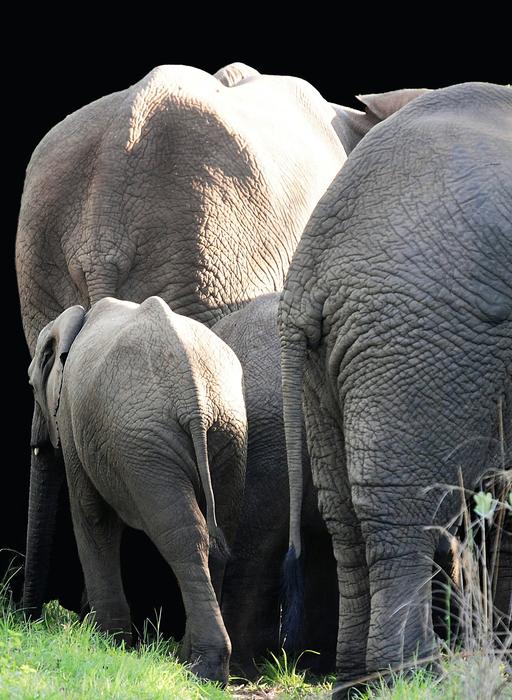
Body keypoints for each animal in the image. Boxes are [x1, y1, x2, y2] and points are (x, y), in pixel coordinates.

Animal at [24, 296, 247, 684]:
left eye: (33, 386)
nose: (28, 622)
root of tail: (195, 401)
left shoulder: (73, 418)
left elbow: (92, 515)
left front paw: (105, 643)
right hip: (227, 433)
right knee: (221, 537)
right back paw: (191, 662)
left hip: (144, 440)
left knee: (184, 536)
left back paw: (202, 669)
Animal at [278, 83, 511, 698]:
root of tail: (312, 267)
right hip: (419, 337)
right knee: (401, 509)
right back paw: (414, 675)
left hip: (334, 361)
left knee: (342, 513)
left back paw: (356, 679)